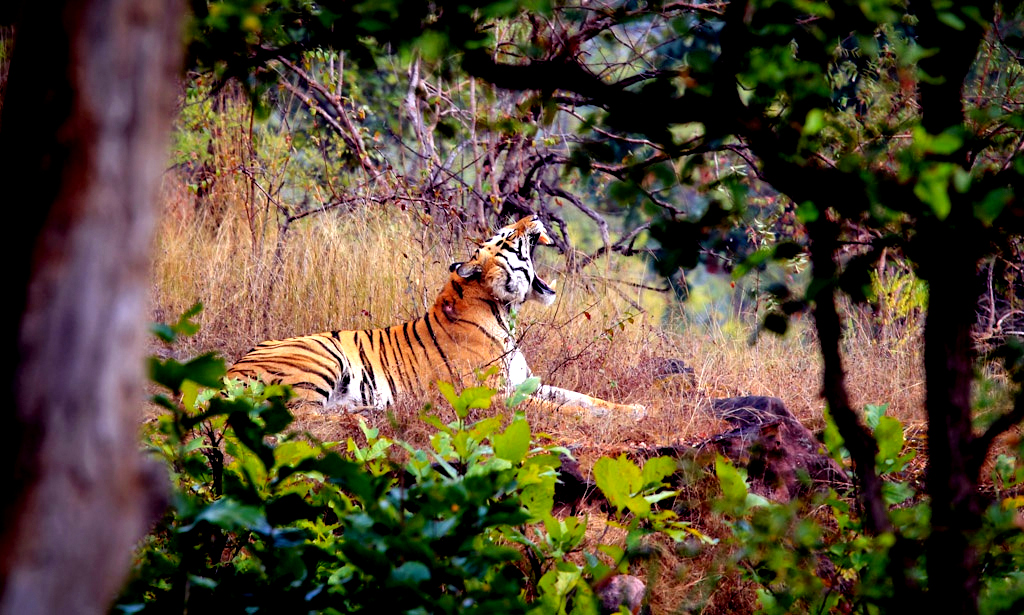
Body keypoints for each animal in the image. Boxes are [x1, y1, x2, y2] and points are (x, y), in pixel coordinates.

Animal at [227, 215, 643, 417]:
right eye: (509, 236)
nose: (534, 214)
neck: (502, 311)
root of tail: (230, 369)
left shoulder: (528, 382)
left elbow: (584, 398)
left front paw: (634, 409)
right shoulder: (495, 396)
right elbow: (560, 407)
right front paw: (611, 419)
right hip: (321, 356)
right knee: (300, 418)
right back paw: (368, 413)